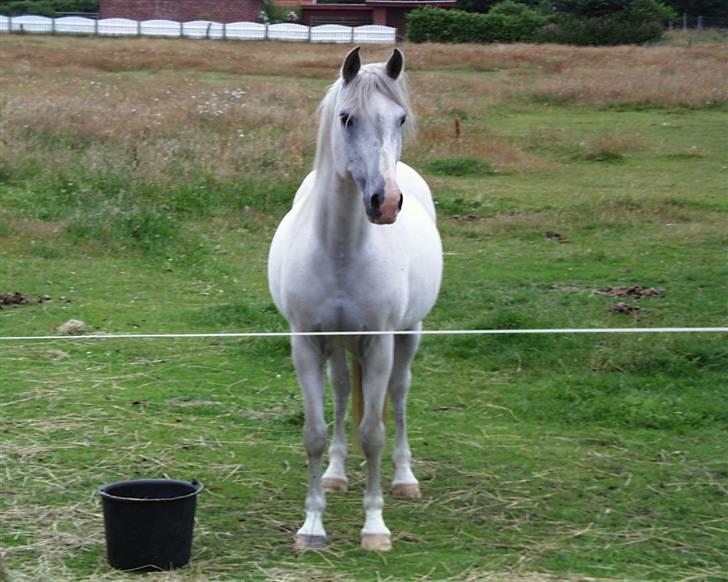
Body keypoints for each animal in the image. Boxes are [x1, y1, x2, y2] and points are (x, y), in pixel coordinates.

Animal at [266, 46, 440, 552]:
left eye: (401, 119)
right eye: (346, 118)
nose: (386, 202)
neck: (341, 248)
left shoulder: (378, 343)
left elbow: (374, 433)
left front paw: (375, 526)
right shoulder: (305, 343)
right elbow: (315, 431)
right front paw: (311, 525)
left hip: (407, 335)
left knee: (398, 398)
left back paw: (404, 479)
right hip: (340, 346)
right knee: (343, 394)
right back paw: (337, 474)